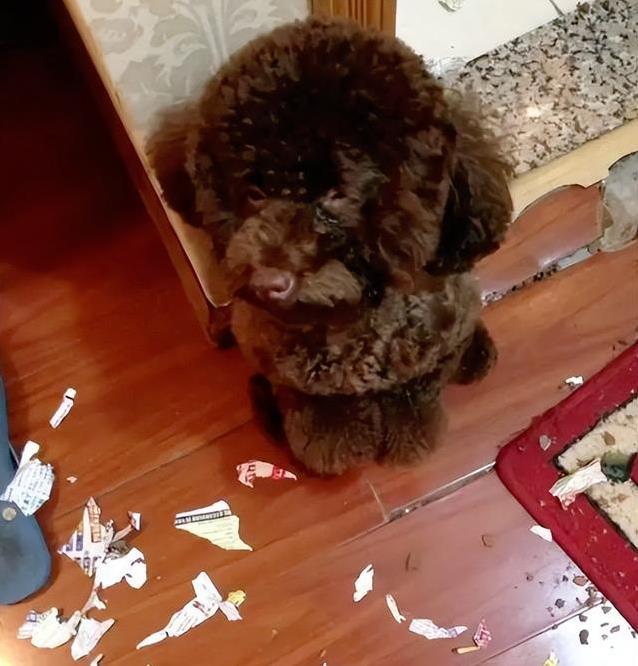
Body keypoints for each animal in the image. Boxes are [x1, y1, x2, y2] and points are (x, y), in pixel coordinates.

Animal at [149, 17, 512, 474]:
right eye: (254, 192)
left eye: (338, 194)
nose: (269, 282)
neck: (348, 322)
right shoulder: (288, 371)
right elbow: (319, 412)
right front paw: (332, 445)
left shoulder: (425, 355)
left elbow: (413, 393)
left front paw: (409, 438)